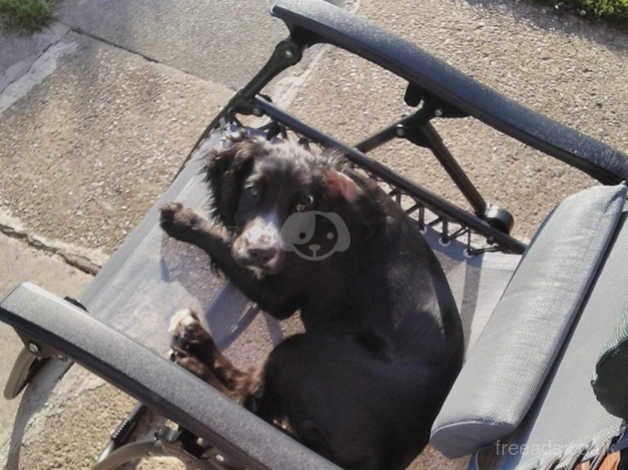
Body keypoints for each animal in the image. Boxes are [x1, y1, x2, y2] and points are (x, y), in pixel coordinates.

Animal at [159, 137, 464, 470]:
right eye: (252, 190)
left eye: (302, 205)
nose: (260, 252)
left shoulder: (279, 294)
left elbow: (224, 244)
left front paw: (183, 219)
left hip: (302, 351)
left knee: (246, 401)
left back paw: (194, 353)